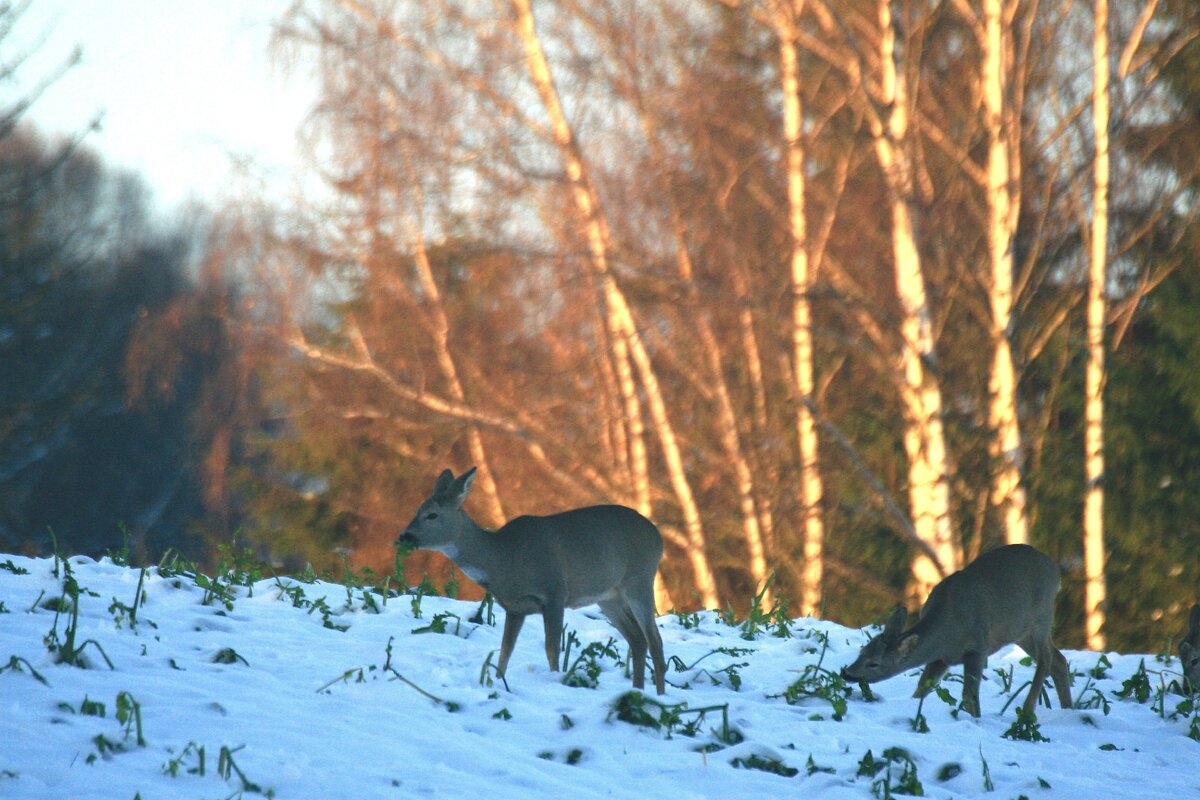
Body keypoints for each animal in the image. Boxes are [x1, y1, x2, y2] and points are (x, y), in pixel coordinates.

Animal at [398, 470, 672, 695]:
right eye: (416, 511)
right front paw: (498, 682)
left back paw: (659, 697)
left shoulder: (554, 592)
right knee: (638, 640)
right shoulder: (514, 608)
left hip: (639, 579)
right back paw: (637, 692)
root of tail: (658, 536)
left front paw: (555, 681)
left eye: (432, 515)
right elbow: (505, 651)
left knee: (655, 641)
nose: (404, 536)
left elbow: (551, 648)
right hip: (608, 597)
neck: (504, 559)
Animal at [840, 544, 1075, 719]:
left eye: (874, 664)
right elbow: (921, 688)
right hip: (1020, 632)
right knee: (1059, 660)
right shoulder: (941, 658)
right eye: (862, 652)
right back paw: (1068, 709)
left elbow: (969, 696)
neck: (948, 630)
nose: (847, 673)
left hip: (1042, 616)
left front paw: (975, 719)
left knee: (1046, 659)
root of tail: (1056, 571)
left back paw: (1028, 709)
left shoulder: (977, 647)